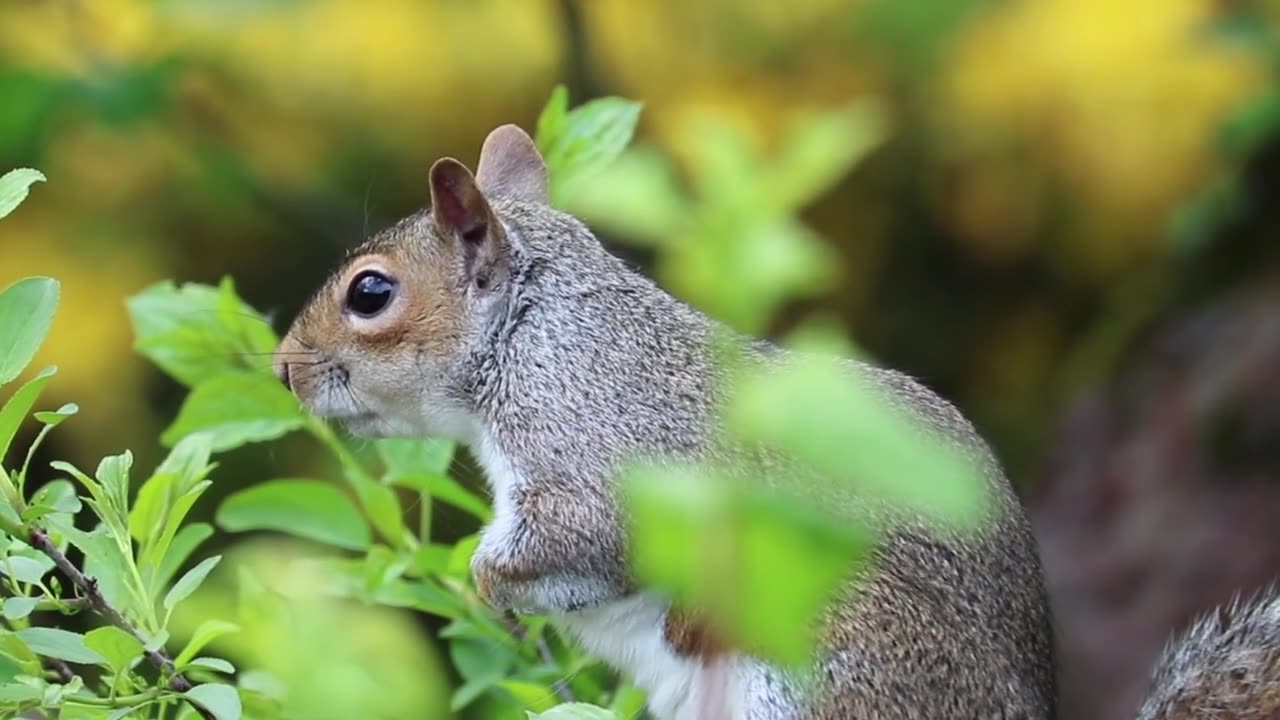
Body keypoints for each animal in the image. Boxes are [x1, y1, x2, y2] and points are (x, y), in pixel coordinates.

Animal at [272, 124, 1280, 717]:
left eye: (371, 294)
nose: (282, 368)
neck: (534, 333)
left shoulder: (591, 443)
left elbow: (572, 538)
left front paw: (487, 588)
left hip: (822, 652)